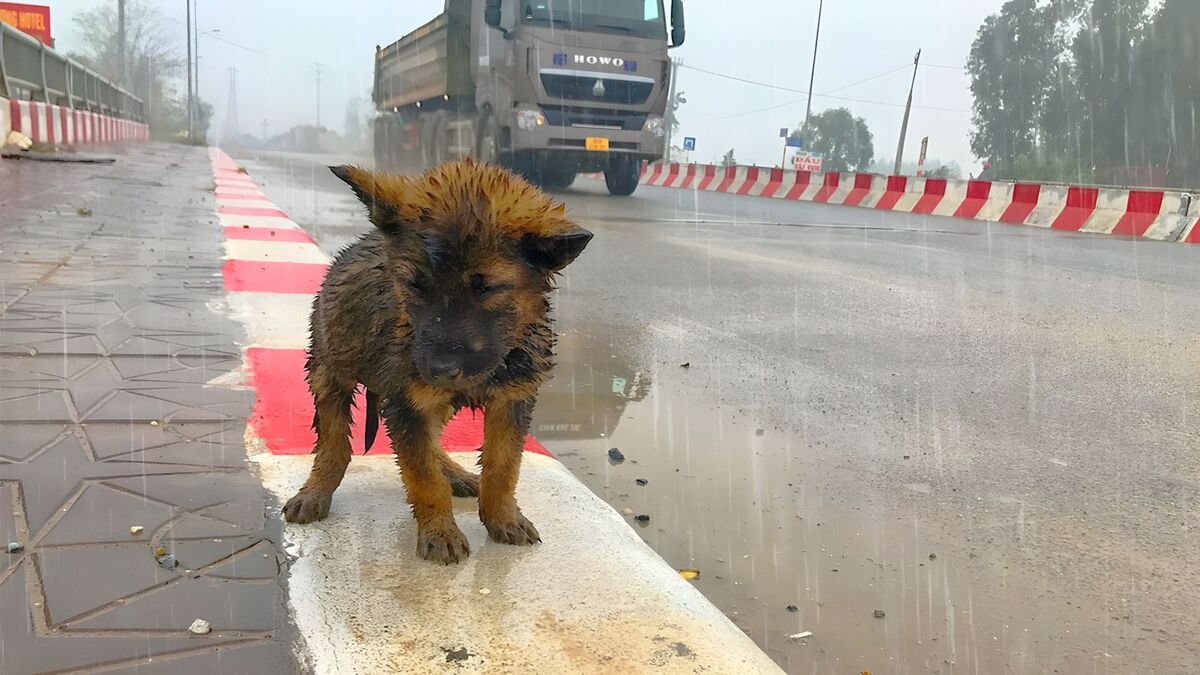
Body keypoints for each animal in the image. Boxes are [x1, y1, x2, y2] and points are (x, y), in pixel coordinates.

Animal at [286, 158, 595, 562]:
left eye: (486, 289)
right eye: (414, 285)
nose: (439, 370)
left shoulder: (513, 399)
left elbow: (503, 466)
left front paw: (503, 517)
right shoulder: (406, 403)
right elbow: (423, 475)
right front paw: (440, 531)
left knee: (432, 440)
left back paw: (455, 473)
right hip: (329, 371)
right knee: (335, 444)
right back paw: (316, 491)